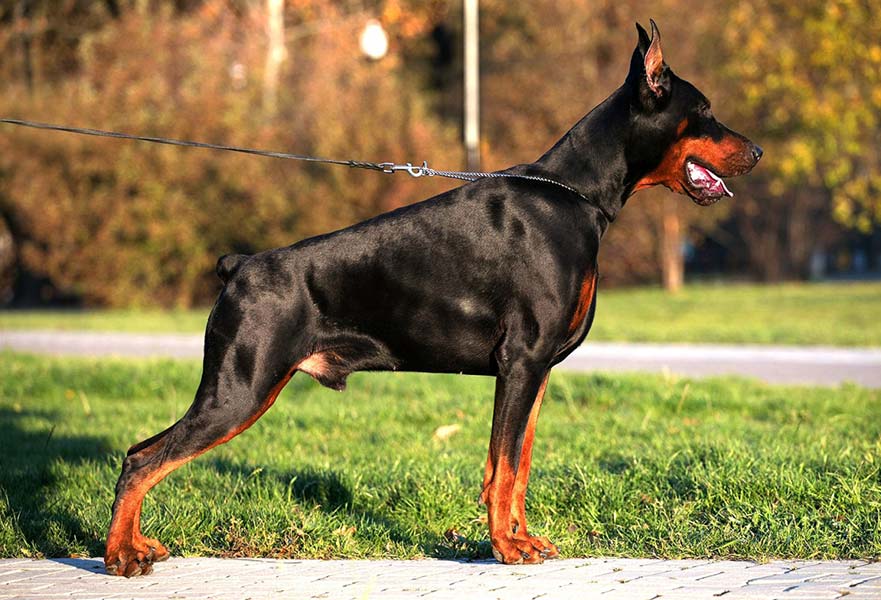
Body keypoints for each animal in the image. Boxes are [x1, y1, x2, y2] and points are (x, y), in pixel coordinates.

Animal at [106, 19, 760, 576]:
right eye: (704, 112)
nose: (756, 152)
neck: (573, 196)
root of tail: (239, 266)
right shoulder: (520, 361)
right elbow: (502, 467)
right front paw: (504, 549)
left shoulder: (538, 371)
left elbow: (518, 464)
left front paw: (521, 538)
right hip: (240, 388)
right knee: (141, 458)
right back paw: (121, 556)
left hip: (245, 389)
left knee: (142, 452)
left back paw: (137, 546)